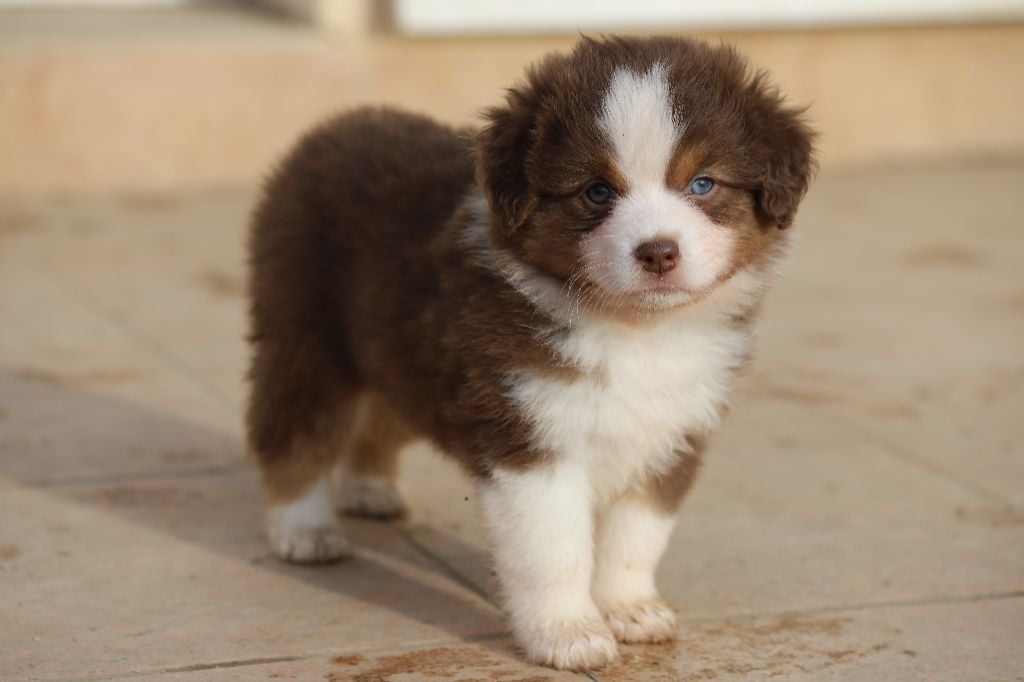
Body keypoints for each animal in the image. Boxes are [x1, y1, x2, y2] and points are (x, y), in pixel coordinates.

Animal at [243, 34, 811, 667]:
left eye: (703, 184)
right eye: (597, 192)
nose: (658, 252)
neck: (633, 331)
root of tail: (334, 127)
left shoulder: (672, 434)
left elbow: (636, 536)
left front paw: (630, 609)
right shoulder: (530, 437)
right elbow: (554, 550)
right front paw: (569, 634)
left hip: (396, 353)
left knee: (381, 417)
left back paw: (370, 490)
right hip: (308, 340)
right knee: (295, 433)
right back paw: (304, 531)